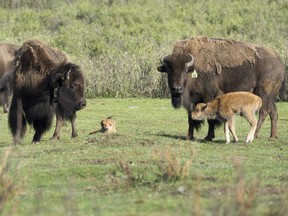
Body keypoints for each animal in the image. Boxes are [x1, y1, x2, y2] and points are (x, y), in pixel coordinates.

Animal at [158, 36, 286, 141]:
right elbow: (190, 117)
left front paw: (208, 137)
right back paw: (273, 136)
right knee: (273, 111)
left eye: (185, 70)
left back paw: (254, 135)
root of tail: (279, 61)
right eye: (169, 70)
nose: (177, 89)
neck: (194, 69)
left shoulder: (209, 96)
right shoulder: (192, 100)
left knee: (264, 111)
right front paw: (189, 136)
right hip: (270, 96)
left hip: (263, 93)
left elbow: (210, 118)